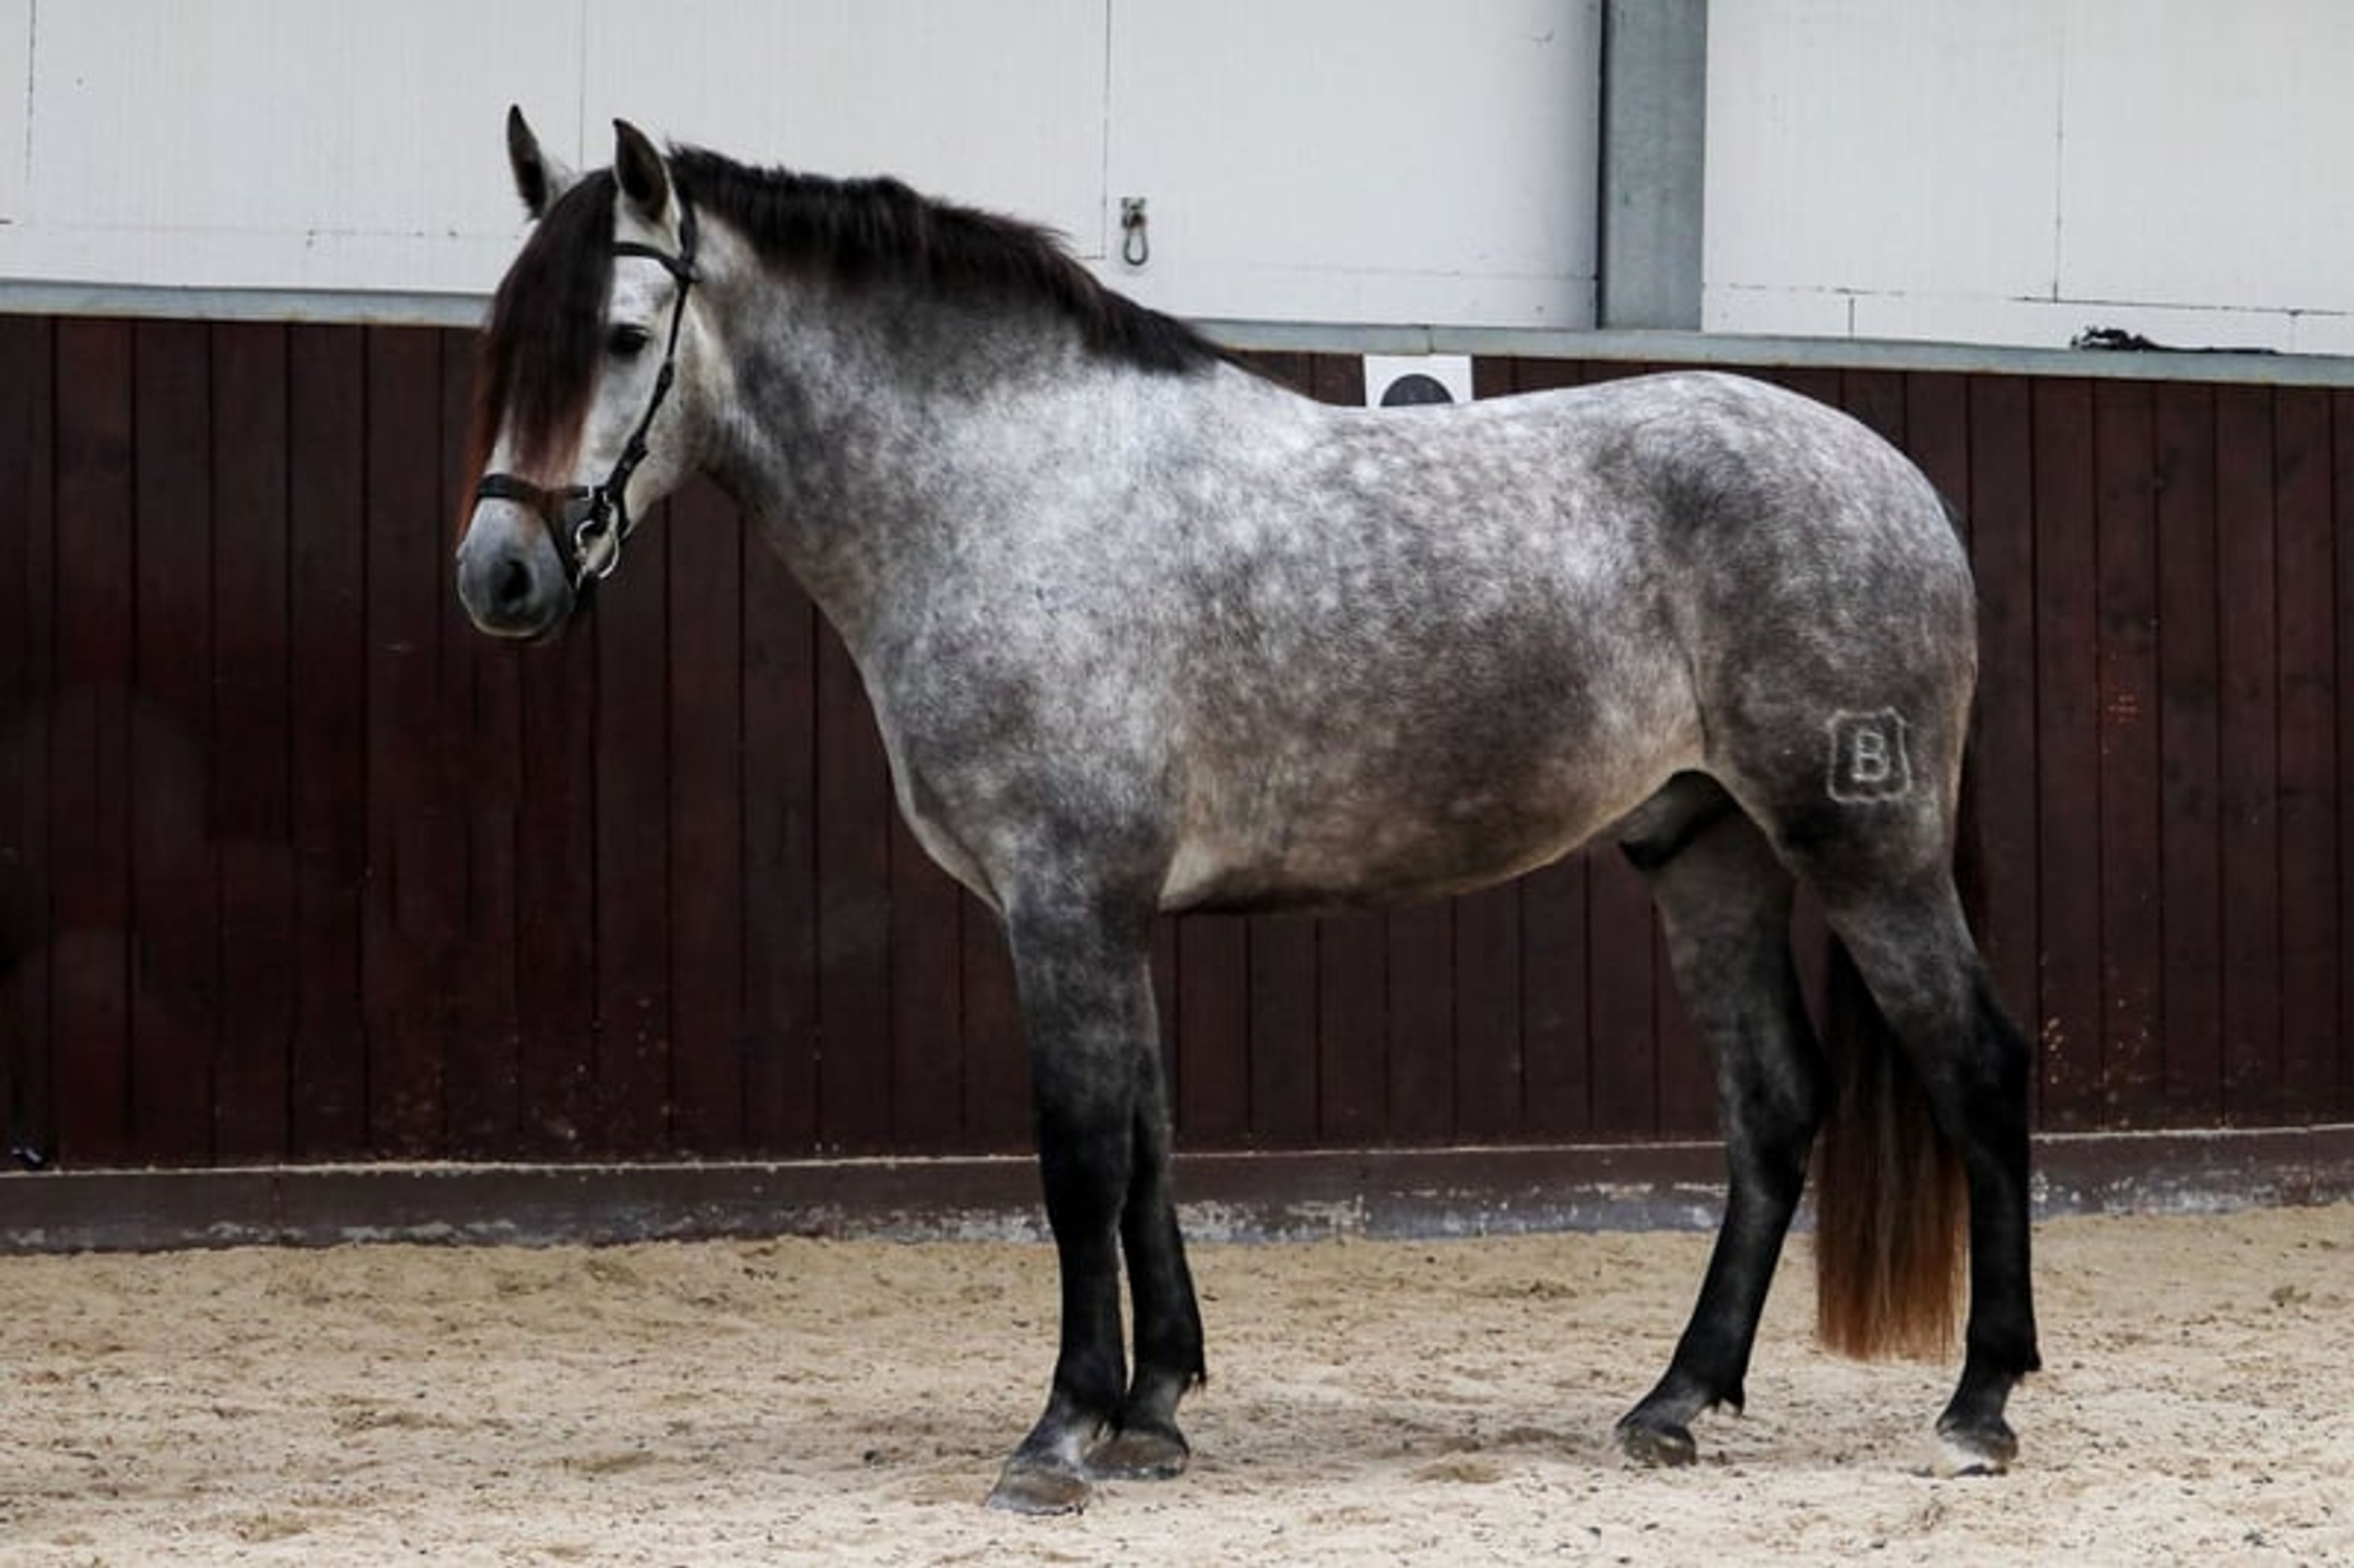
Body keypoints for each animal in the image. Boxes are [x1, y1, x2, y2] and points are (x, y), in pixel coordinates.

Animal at [455, 111, 2040, 1514]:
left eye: (621, 336)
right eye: (504, 339)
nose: (501, 575)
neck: (1012, 494)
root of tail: (1896, 481)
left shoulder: (1065, 901)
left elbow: (1081, 1154)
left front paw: (1061, 1431)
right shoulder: (1112, 910)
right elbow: (1148, 1144)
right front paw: (1153, 1409)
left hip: (1866, 851)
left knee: (1976, 1067)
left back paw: (1977, 1408)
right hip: (1703, 849)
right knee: (1770, 1103)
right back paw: (1672, 1402)